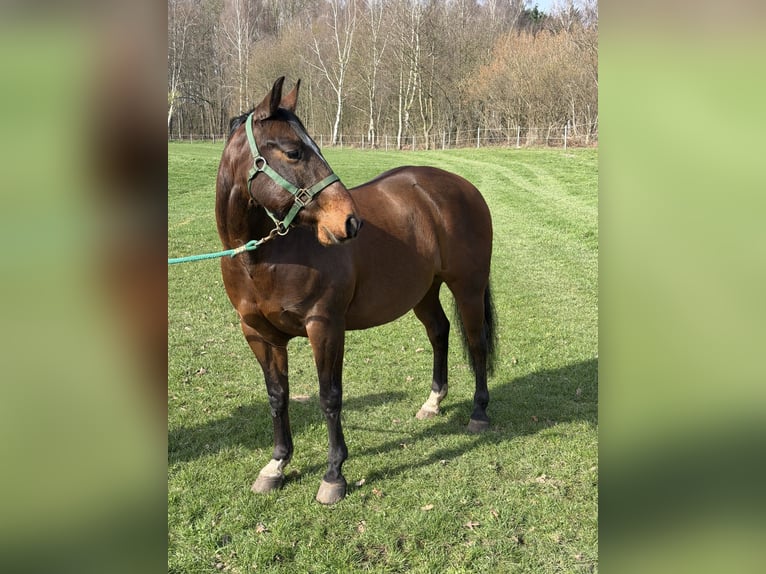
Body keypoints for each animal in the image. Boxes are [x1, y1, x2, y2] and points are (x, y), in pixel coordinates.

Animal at [215, 77, 497, 504]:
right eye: (294, 152)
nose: (350, 221)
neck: (264, 256)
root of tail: (464, 188)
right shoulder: (260, 335)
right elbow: (277, 396)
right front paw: (277, 464)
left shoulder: (325, 327)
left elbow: (329, 396)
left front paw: (334, 474)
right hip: (424, 292)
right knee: (440, 332)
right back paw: (433, 402)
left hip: (468, 286)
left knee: (476, 343)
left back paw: (479, 413)